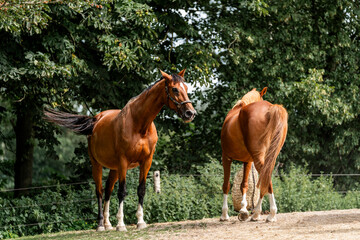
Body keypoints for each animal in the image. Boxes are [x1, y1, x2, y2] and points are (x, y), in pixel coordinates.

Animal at [45, 69, 197, 231]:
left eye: (186, 88)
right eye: (174, 89)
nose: (190, 113)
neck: (140, 124)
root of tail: (95, 120)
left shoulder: (146, 161)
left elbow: (141, 189)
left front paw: (140, 222)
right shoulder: (123, 161)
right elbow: (122, 192)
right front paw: (121, 224)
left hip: (114, 169)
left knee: (108, 190)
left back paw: (108, 224)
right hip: (97, 165)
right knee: (99, 191)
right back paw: (101, 225)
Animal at [219, 87, 286, 222]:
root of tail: (271, 108)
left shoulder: (226, 157)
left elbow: (226, 185)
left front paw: (224, 214)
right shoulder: (248, 161)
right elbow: (244, 185)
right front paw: (244, 210)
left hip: (258, 158)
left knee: (266, 180)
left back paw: (270, 214)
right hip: (269, 157)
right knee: (265, 179)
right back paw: (256, 214)